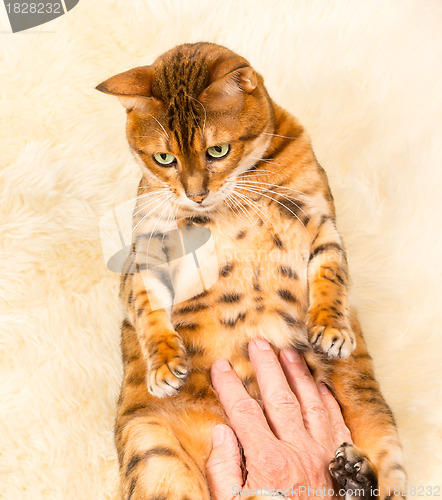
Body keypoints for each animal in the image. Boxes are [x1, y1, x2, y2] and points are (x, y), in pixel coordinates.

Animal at [97, 42, 408, 500]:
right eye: (164, 158)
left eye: (218, 151)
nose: (196, 194)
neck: (237, 198)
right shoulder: (148, 250)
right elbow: (146, 307)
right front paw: (165, 366)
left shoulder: (322, 225)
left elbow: (332, 275)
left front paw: (331, 329)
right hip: (153, 452)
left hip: (382, 432)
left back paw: (354, 475)